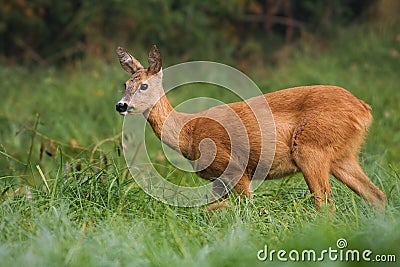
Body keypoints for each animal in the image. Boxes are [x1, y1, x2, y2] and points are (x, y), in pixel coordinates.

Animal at [114, 44, 386, 211]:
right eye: (125, 84)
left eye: (144, 85)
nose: (121, 105)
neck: (187, 133)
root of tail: (364, 109)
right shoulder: (218, 179)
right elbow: (210, 210)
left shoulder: (233, 167)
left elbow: (248, 209)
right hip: (342, 155)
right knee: (377, 196)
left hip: (311, 147)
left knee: (326, 205)